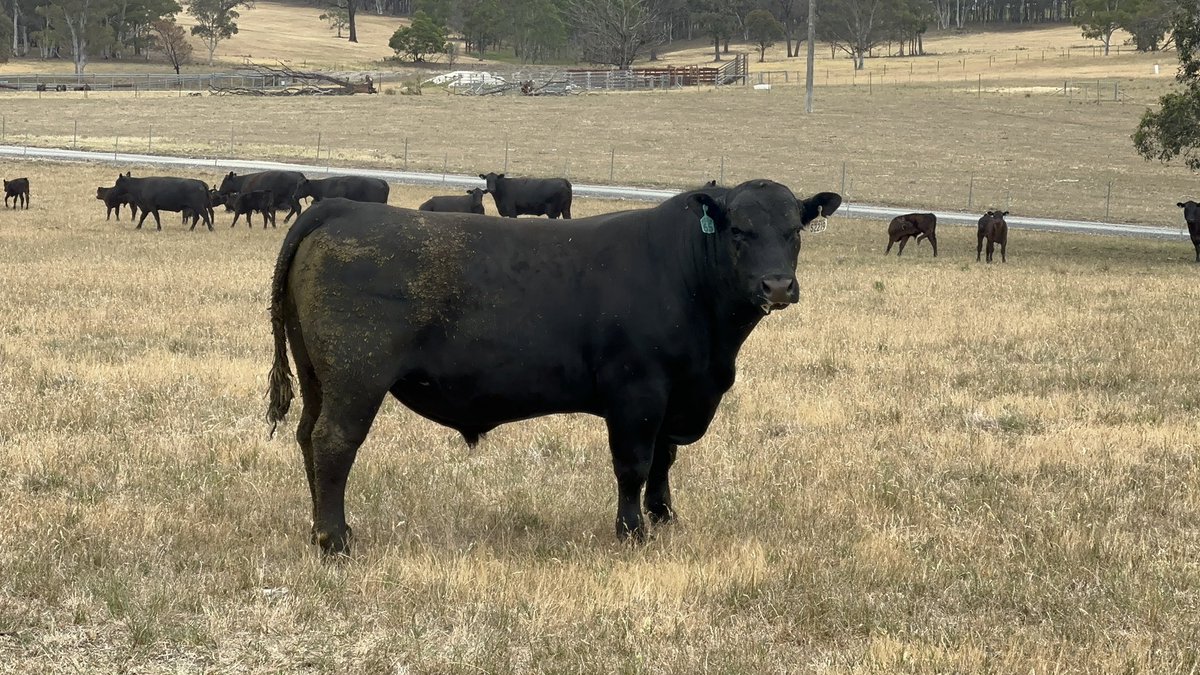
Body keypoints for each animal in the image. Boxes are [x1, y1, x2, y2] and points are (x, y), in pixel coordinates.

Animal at [264, 180, 842, 555]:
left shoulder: (678, 393)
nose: (777, 285)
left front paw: (665, 518)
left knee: (308, 436)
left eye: (795, 231)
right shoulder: (637, 390)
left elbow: (664, 460)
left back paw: (322, 530)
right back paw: (335, 541)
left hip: (317, 376)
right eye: (739, 231)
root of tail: (341, 209)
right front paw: (632, 532)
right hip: (356, 377)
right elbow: (633, 464)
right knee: (335, 443)